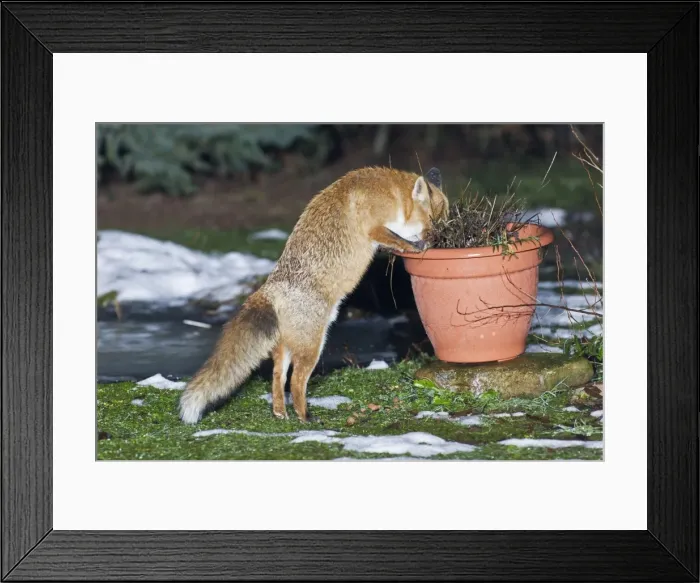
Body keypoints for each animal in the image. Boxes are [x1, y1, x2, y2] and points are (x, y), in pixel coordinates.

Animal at [178, 166, 449, 424]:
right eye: (433, 223)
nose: (442, 240)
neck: (394, 194)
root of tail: (268, 289)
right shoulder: (374, 227)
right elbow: (401, 241)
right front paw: (418, 247)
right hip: (312, 347)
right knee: (296, 382)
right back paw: (305, 417)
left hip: (288, 348)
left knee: (278, 377)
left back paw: (280, 414)